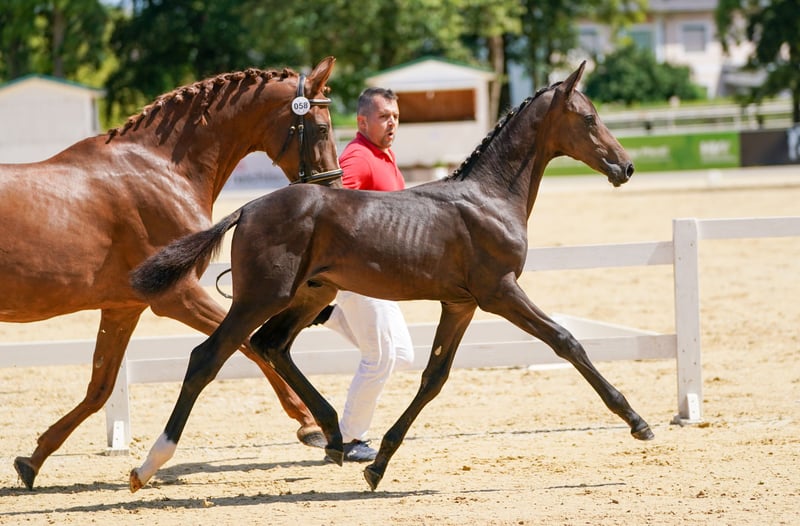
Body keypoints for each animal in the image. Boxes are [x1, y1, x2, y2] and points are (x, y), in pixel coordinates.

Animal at [1, 56, 343, 490]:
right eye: (322, 128)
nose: (334, 188)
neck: (163, 169)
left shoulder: (123, 308)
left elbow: (100, 388)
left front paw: (33, 459)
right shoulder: (177, 296)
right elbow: (244, 346)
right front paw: (309, 426)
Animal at [128, 61, 653, 493]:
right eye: (588, 119)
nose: (626, 166)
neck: (489, 197)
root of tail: (248, 207)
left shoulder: (460, 304)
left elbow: (433, 378)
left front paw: (378, 465)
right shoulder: (500, 291)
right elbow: (567, 341)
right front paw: (636, 421)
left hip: (310, 295)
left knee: (271, 345)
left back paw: (334, 435)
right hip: (260, 297)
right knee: (208, 357)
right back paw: (148, 465)